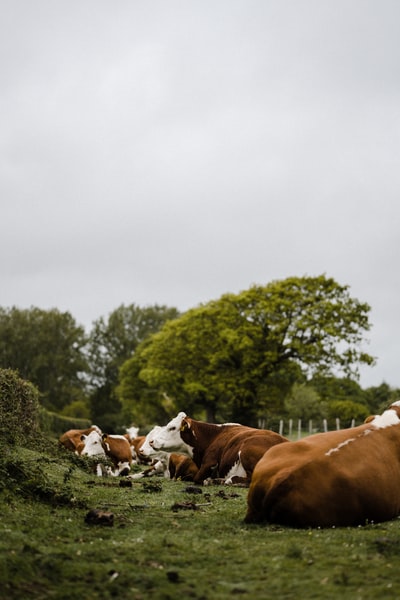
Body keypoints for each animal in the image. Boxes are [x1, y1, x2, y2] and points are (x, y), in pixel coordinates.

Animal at [144, 410, 288, 486]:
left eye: (172, 427)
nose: (152, 441)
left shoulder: (209, 463)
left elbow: (198, 478)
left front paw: (209, 480)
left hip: (246, 450)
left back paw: (225, 480)